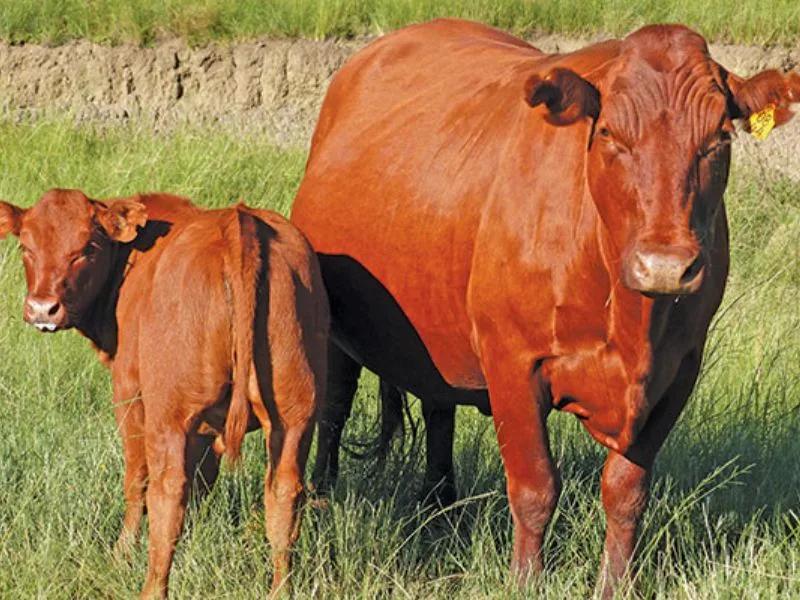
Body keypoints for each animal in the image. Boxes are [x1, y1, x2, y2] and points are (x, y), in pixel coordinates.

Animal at [0, 189, 329, 597]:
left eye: (87, 247)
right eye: (25, 247)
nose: (42, 308)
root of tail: (239, 221)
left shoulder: (129, 393)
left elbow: (137, 479)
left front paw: (122, 554)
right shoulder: (208, 427)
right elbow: (203, 480)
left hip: (168, 416)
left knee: (166, 491)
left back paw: (151, 586)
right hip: (295, 416)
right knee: (284, 495)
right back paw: (280, 588)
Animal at [290, 18, 800, 596]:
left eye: (719, 137)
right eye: (609, 135)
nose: (666, 266)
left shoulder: (679, 371)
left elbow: (626, 491)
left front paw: (615, 584)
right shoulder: (512, 361)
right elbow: (535, 487)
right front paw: (525, 580)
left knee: (438, 406)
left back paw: (440, 510)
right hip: (333, 321)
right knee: (334, 407)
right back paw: (325, 501)